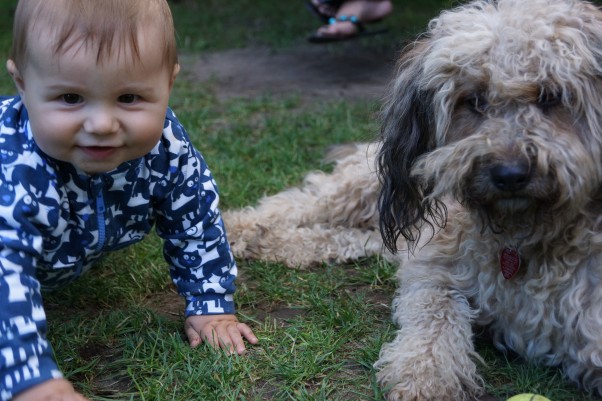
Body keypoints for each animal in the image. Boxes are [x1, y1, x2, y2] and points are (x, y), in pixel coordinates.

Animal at [223, 0, 600, 398]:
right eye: (474, 100)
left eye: (552, 96)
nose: (509, 174)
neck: (524, 236)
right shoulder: (435, 270)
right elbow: (436, 318)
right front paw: (426, 376)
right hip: (365, 190)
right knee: (297, 202)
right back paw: (240, 228)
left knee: (350, 238)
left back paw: (271, 240)